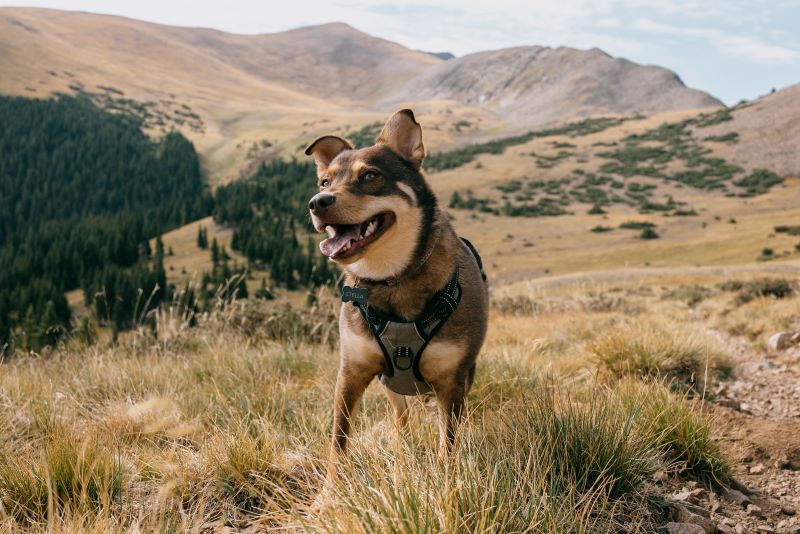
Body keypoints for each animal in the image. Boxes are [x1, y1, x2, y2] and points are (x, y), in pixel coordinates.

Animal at [304, 110, 488, 478]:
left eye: (369, 175)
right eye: (325, 182)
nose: (317, 203)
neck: (392, 279)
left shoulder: (451, 381)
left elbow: (448, 444)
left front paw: (448, 483)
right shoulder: (352, 373)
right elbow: (338, 443)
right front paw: (329, 492)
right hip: (392, 387)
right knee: (401, 421)